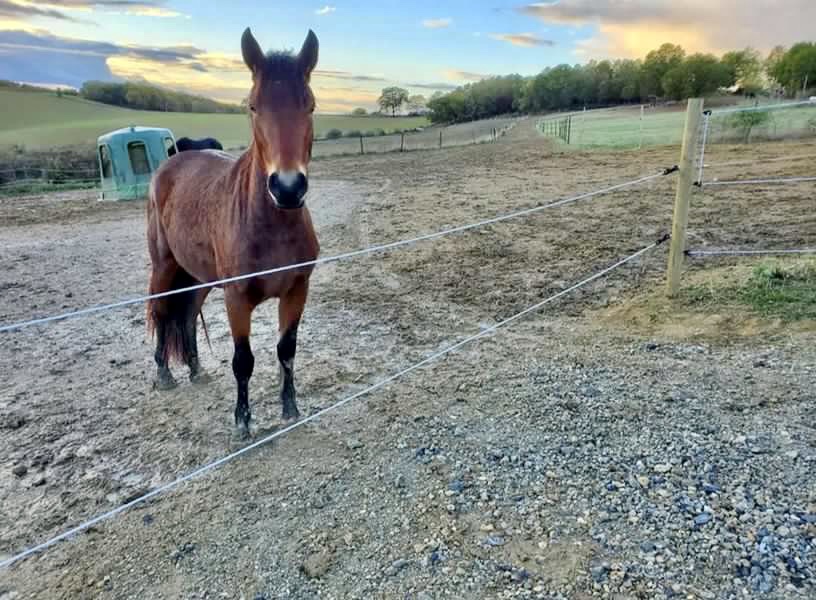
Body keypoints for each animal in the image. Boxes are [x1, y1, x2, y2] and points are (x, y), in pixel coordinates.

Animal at [148, 28, 320, 434]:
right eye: (253, 107)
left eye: (310, 106)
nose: (288, 188)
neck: (270, 227)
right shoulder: (237, 299)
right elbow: (243, 360)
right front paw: (242, 422)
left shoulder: (297, 290)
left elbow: (286, 351)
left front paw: (290, 408)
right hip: (164, 265)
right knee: (161, 310)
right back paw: (164, 374)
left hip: (200, 276)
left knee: (187, 314)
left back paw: (195, 370)